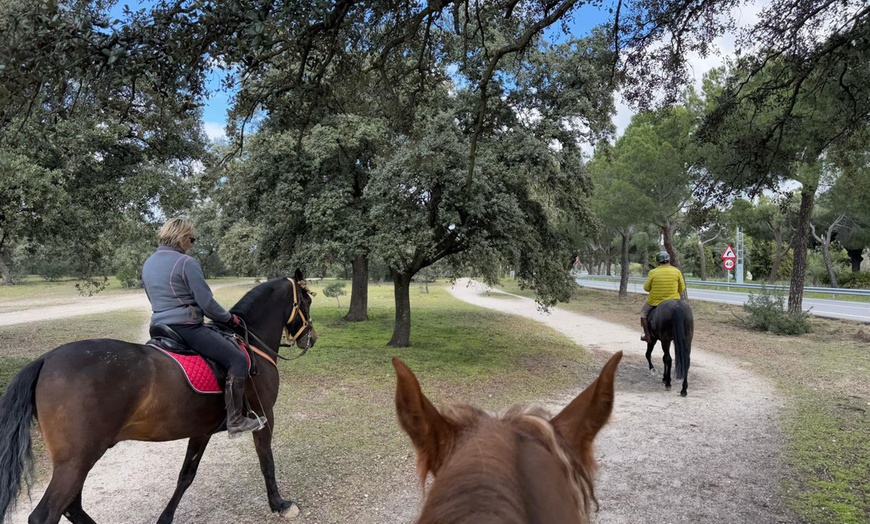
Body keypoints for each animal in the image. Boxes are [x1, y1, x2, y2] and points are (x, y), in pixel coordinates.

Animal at [0, 271, 316, 524]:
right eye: (307, 302)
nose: (310, 338)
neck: (249, 342)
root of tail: (46, 360)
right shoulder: (265, 415)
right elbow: (266, 461)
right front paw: (279, 505)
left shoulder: (202, 431)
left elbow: (186, 475)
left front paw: (166, 517)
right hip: (76, 461)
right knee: (47, 514)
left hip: (79, 460)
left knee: (72, 508)